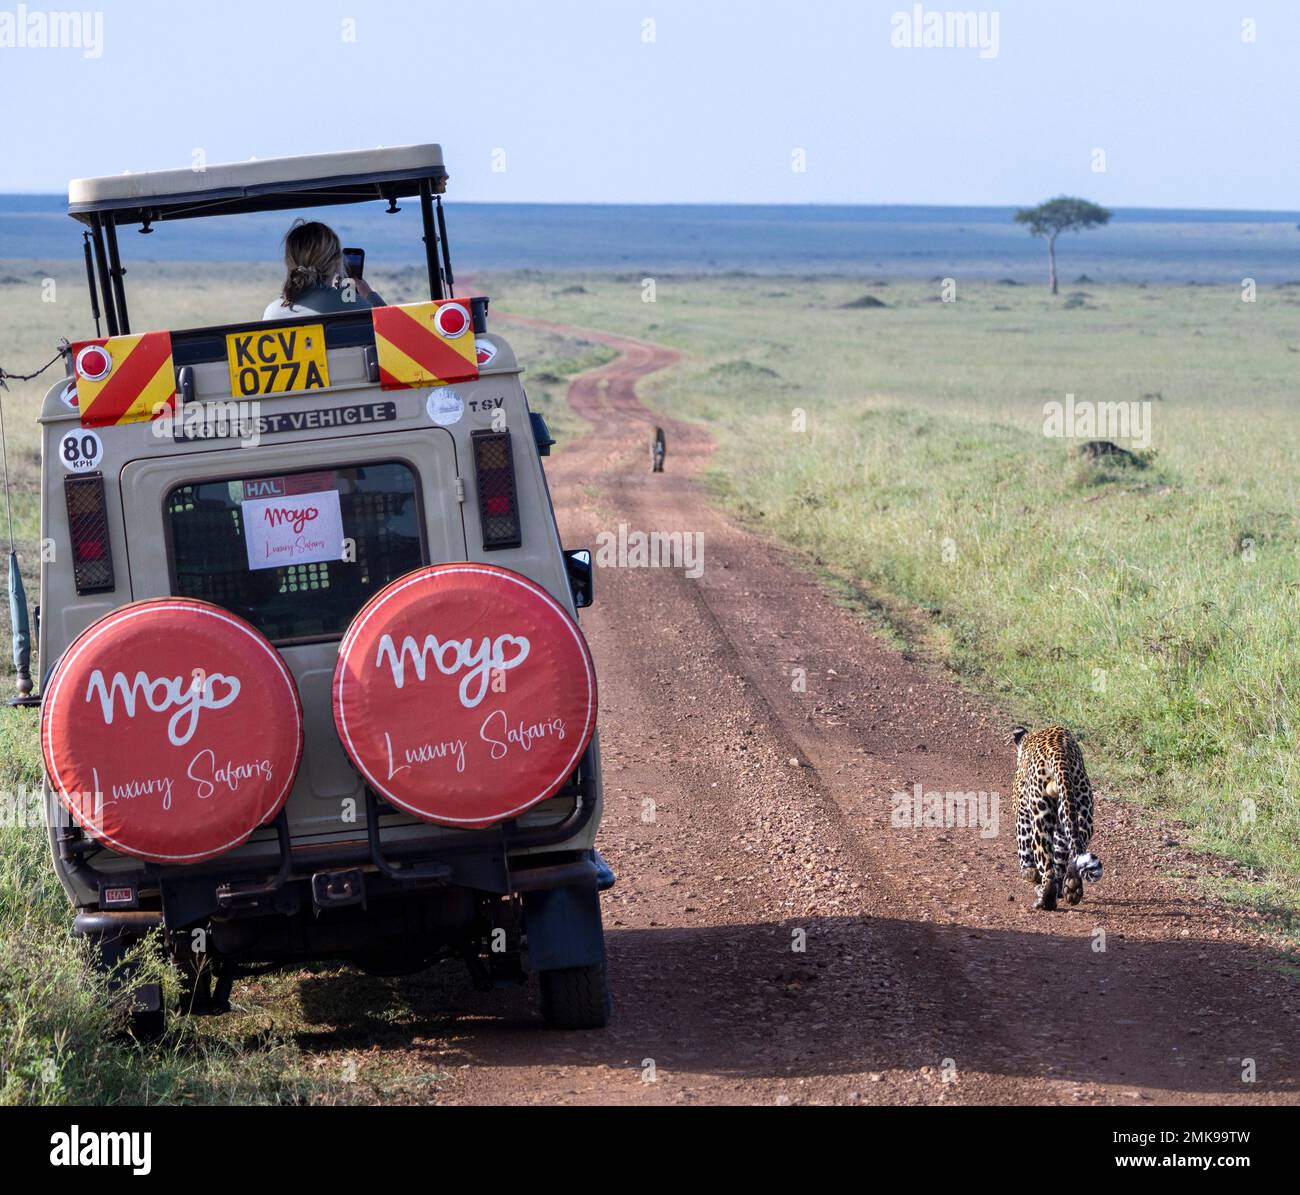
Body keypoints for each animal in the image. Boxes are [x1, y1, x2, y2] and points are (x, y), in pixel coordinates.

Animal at [1008, 722, 1102, 910]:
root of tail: (1060, 754)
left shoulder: (1022, 812)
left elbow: (1025, 855)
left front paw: (1030, 874)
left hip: (1040, 817)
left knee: (1047, 865)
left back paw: (1045, 899)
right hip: (1082, 811)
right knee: (1073, 853)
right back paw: (1071, 887)